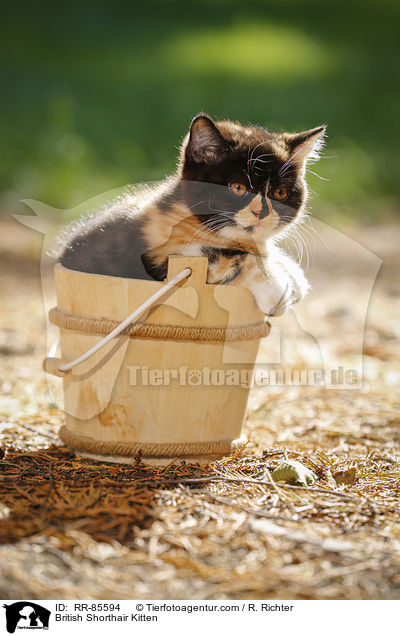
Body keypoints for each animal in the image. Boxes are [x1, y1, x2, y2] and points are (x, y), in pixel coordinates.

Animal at [57, 115, 326, 318]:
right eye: (238, 188)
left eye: (280, 193)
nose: (262, 211)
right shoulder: (159, 258)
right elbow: (230, 258)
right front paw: (276, 285)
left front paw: (290, 271)